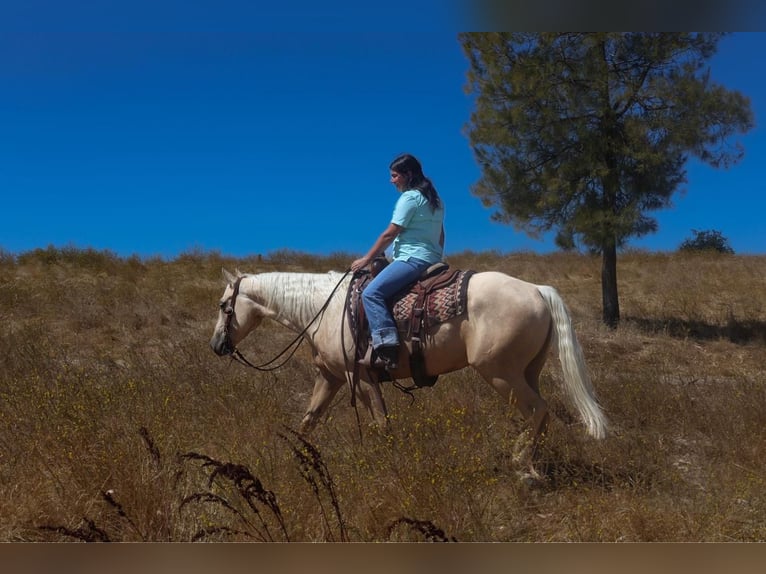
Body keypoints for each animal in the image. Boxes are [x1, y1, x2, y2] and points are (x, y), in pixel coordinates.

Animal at [208, 268, 608, 480]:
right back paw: (533, 463)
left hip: (500, 373)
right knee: (540, 415)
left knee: (538, 411)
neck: (324, 309)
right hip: (527, 371)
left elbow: (381, 424)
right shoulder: (331, 378)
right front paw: (297, 459)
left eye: (225, 306)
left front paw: (388, 466)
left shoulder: (359, 378)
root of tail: (537, 290)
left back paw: (523, 467)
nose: (216, 345)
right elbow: (309, 420)